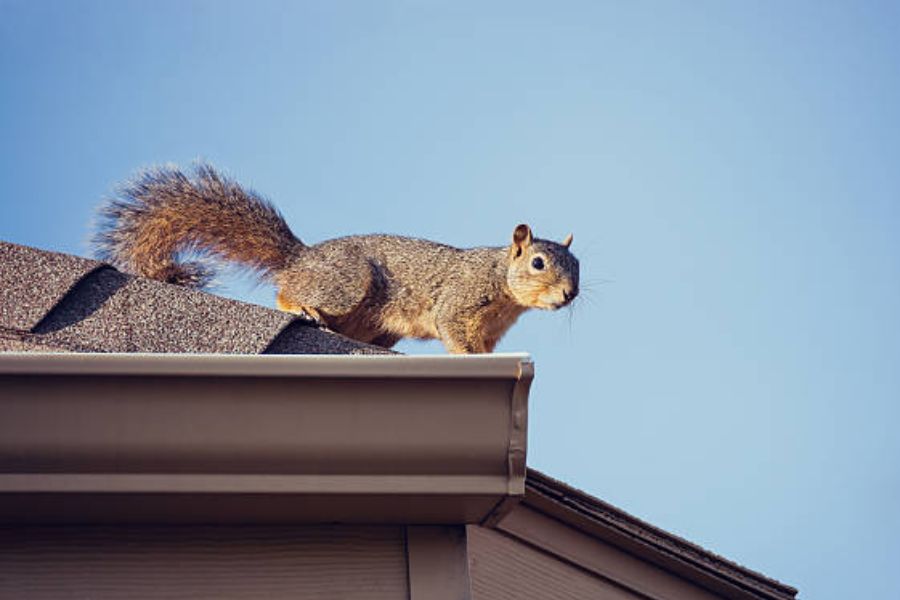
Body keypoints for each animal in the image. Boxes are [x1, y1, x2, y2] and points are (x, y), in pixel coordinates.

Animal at [93, 162, 584, 354]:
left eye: (579, 266)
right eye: (538, 263)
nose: (570, 294)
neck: (502, 282)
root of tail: (302, 257)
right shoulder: (459, 301)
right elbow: (454, 332)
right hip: (347, 283)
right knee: (287, 291)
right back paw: (302, 307)